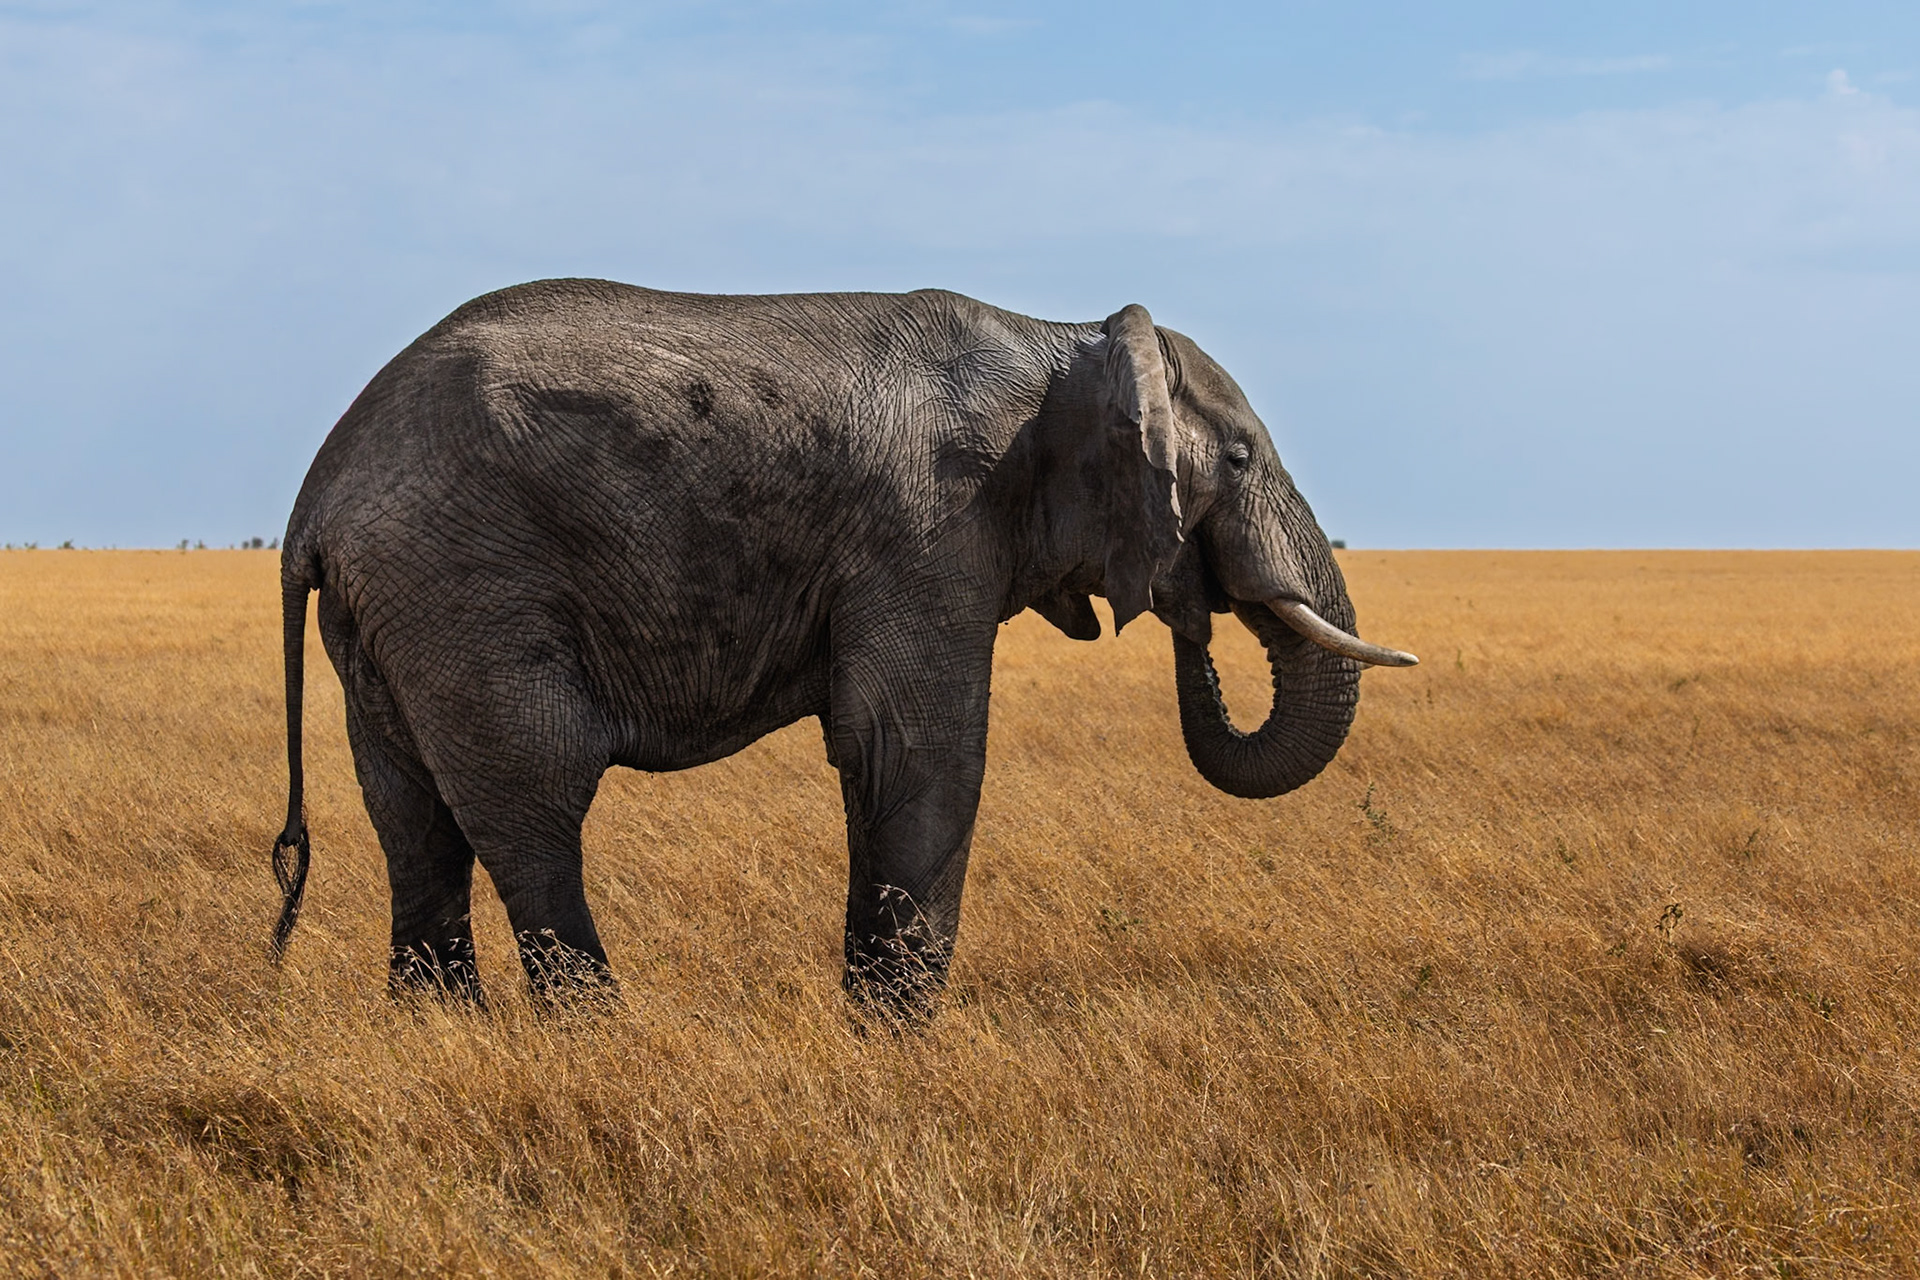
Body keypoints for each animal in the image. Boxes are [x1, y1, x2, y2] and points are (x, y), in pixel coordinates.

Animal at [268, 279, 1416, 1010]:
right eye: (1240, 456)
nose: (1197, 613)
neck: (1062, 341)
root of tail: (315, 494)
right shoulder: (928, 529)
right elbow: (918, 754)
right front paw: (897, 1042)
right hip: (465, 588)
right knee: (532, 800)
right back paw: (599, 1036)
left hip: (390, 613)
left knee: (412, 818)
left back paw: (441, 1035)